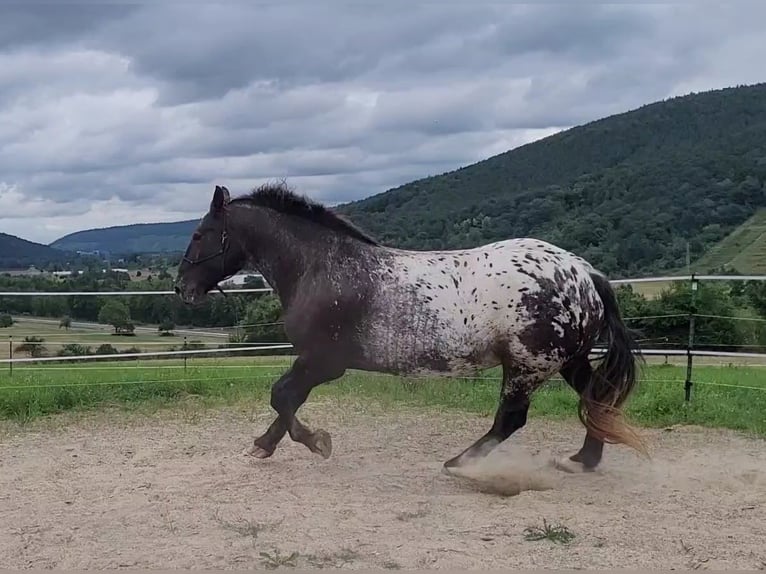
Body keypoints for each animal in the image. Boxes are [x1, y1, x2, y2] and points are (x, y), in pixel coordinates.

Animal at [174, 182, 648, 474]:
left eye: (199, 234)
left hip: (528, 365)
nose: (182, 288)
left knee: (511, 419)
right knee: (596, 398)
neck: (323, 268)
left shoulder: (323, 362)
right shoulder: (316, 363)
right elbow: (286, 399)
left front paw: (317, 442)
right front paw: (265, 444)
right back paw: (582, 460)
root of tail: (585, 272)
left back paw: (460, 464)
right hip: (567, 360)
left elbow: (282, 397)